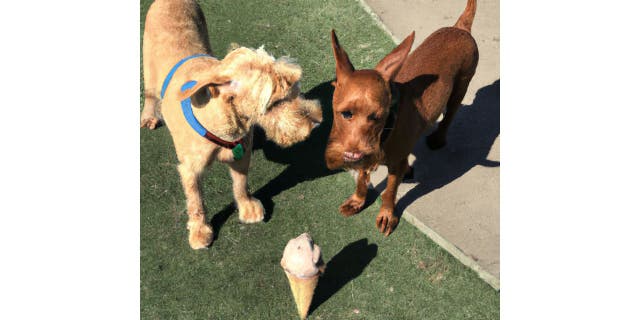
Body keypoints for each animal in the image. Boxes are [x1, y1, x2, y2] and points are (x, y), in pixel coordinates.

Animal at [140, 0, 320, 249]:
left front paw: (247, 207)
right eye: (274, 102)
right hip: (148, 65)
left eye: (296, 89)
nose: (317, 122)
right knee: (149, 93)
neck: (226, 121)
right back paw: (148, 116)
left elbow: (240, 184)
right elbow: (196, 202)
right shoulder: (190, 169)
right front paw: (199, 231)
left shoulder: (242, 154)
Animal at [328, 0, 478, 235]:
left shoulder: (391, 165)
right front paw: (358, 200)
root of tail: (460, 28)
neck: (385, 133)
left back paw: (438, 139)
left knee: (449, 117)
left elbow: (390, 191)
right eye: (345, 114)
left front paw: (387, 215)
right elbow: (362, 178)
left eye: (378, 117)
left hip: (460, 88)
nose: (356, 153)